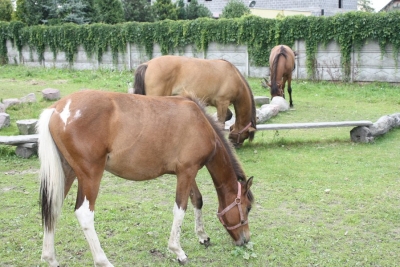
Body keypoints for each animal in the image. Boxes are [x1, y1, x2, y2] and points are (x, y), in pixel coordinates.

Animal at [39, 91, 255, 266]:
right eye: (247, 208)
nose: (245, 240)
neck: (200, 122)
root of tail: (57, 109)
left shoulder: (187, 172)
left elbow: (197, 200)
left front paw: (202, 236)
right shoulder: (186, 172)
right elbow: (180, 208)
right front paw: (178, 251)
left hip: (67, 173)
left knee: (53, 209)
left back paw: (50, 258)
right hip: (90, 175)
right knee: (84, 214)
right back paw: (103, 261)